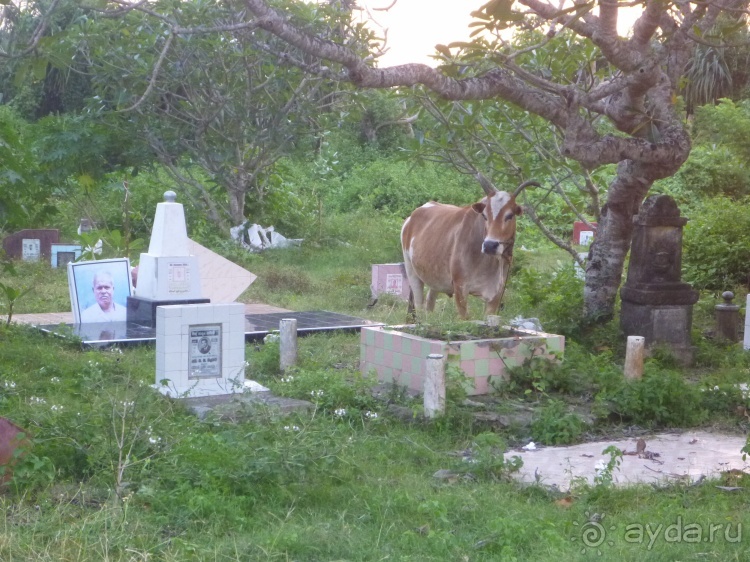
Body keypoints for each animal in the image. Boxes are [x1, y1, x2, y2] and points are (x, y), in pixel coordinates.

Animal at [402, 179, 536, 320]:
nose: (489, 245)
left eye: (509, 215)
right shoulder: (460, 288)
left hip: (435, 278)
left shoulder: (496, 293)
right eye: (484, 215)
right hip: (411, 271)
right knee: (419, 307)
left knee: (430, 302)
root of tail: (412, 216)